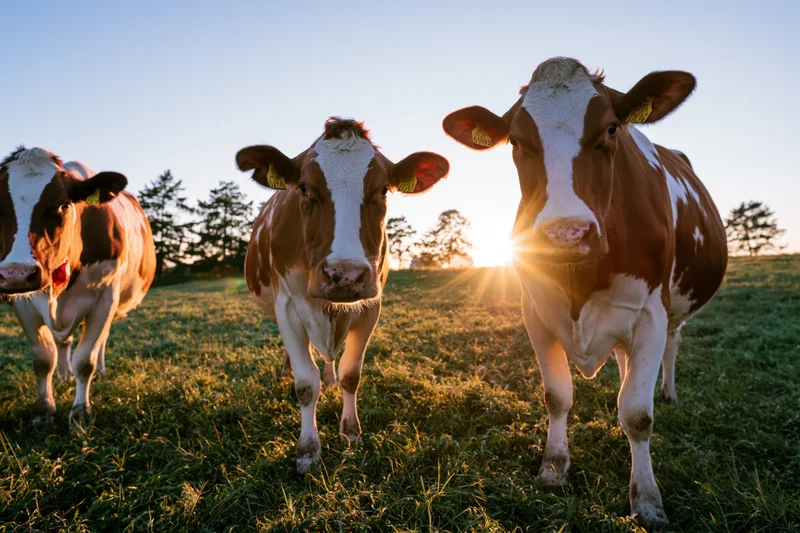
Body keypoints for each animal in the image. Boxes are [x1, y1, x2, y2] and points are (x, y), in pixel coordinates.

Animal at [0, 147, 156, 433]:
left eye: (63, 205)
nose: (17, 273)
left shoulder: (105, 297)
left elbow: (86, 361)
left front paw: (81, 413)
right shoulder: (23, 303)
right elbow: (43, 359)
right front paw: (43, 410)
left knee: (101, 340)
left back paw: (100, 370)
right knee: (63, 343)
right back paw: (64, 375)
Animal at [237, 118, 449, 473]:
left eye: (383, 189)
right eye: (303, 187)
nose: (345, 274)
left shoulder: (370, 306)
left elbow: (352, 374)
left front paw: (350, 434)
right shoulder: (287, 307)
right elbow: (306, 384)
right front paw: (308, 449)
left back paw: (330, 377)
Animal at [442, 58, 727, 528]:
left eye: (611, 128)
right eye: (515, 140)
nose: (565, 233)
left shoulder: (651, 313)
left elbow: (638, 414)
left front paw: (647, 497)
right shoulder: (536, 312)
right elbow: (557, 395)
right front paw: (553, 467)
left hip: (672, 310)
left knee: (671, 346)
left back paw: (668, 393)